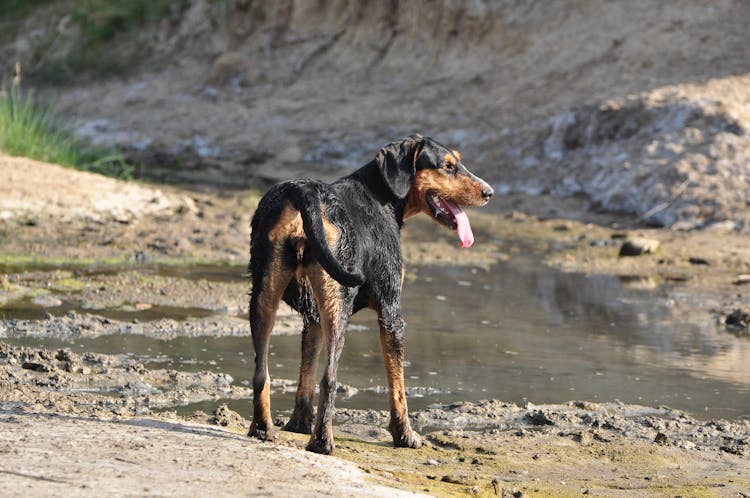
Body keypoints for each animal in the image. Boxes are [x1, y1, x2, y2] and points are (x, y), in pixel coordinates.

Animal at [248, 134, 494, 454]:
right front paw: (405, 435)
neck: (382, 196)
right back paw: (322, 442)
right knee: (330, 377)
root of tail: (301, 191)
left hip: (264, 295)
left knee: (261, 372)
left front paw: (298, 424)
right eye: (448, 166)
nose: (489, 192)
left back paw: (262, 429)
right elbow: (398, 385)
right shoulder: (392, 312)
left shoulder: (311, 317)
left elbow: (306, 372)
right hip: (337, 304)